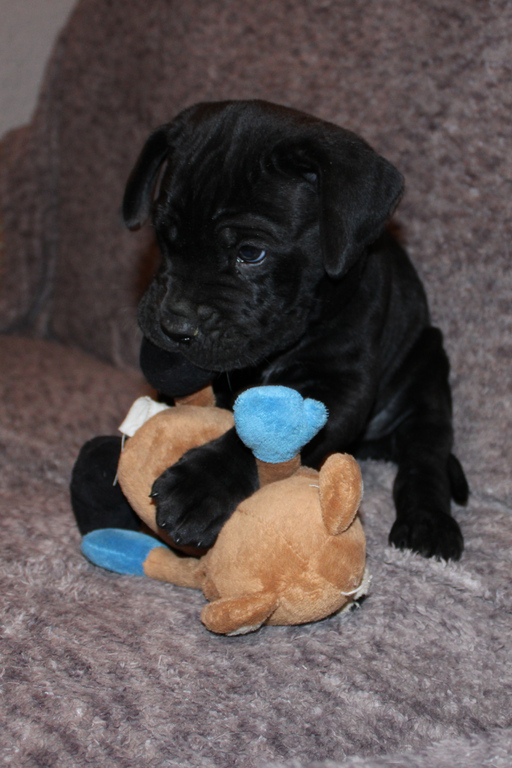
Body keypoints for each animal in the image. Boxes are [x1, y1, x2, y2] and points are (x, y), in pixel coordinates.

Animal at [121, 100, 468, 560]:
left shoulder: (339, 386)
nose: (173, 325)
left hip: (427, 371)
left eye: (251, 252)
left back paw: (428, 523)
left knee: (425, 456)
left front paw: (200, 487)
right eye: (163, 236)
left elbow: (262, 436)